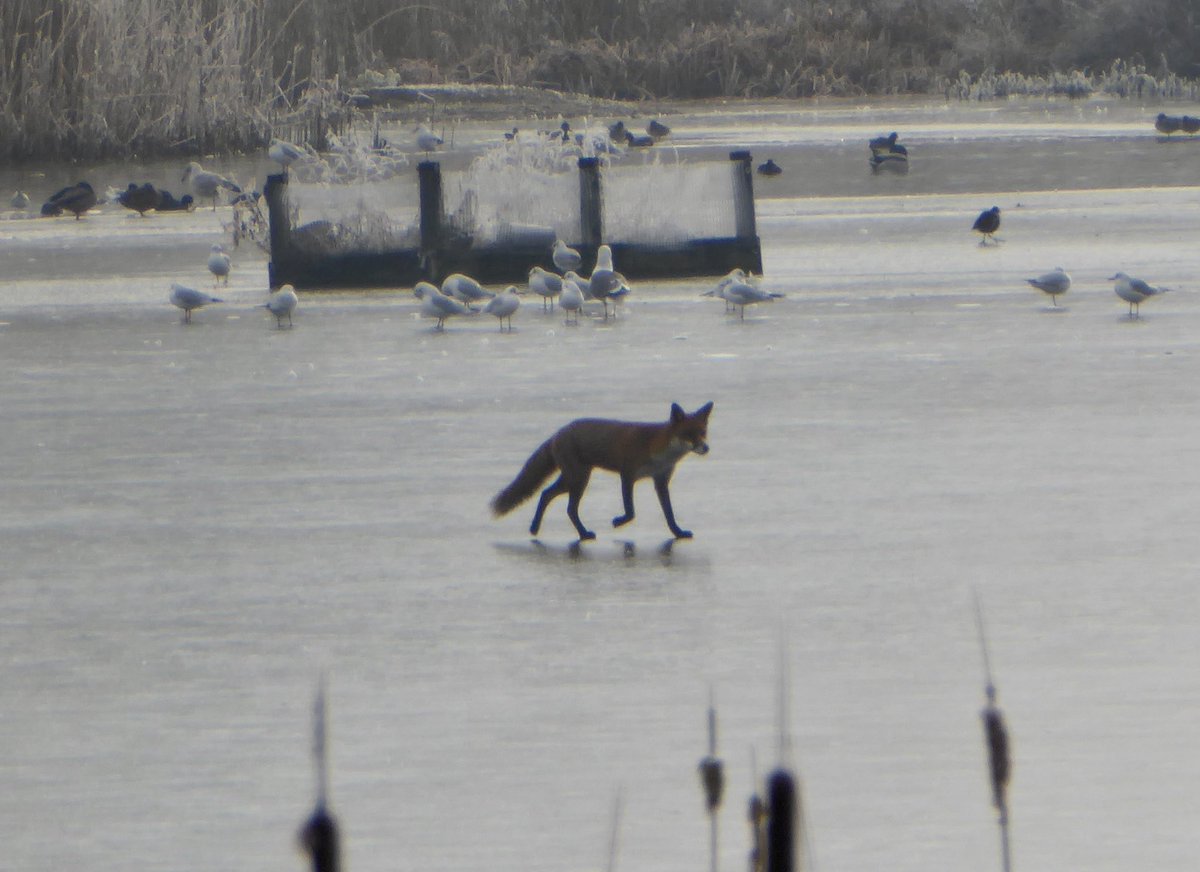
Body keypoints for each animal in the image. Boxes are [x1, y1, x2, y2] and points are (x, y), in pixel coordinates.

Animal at [491, 401, 714, 540]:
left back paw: (538, 528)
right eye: (689, 434)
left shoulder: (660, 481)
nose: (705, 448)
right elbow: (631, 512)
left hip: (573, 479)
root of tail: (558, 433)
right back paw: (582, 534)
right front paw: (618, 522)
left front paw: (678, 533)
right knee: (566, 506)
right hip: (578, 479)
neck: (658, 449)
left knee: (547, 495)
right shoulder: (627, 475)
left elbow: (669, 514)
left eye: (702, 433)